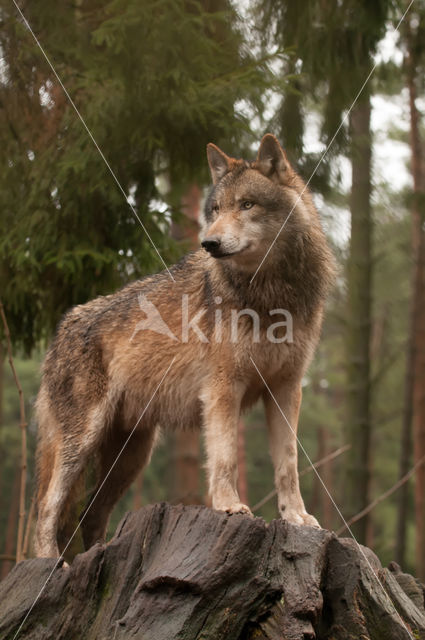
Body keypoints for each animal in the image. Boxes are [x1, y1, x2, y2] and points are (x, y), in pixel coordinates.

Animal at [34, 134, 334, 556]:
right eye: (216, 209)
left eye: (247, 204)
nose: (209, 242)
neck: (270, 293)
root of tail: (62, 327)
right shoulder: (223, 388)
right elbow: (225, 458)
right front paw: (229, 506)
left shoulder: (286, 390)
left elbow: (288, 464)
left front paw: (296, 518)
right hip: (82, 443)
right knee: (48, 508)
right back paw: (50, 564)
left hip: (132, 456)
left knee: (88, 514)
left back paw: (97, 554)